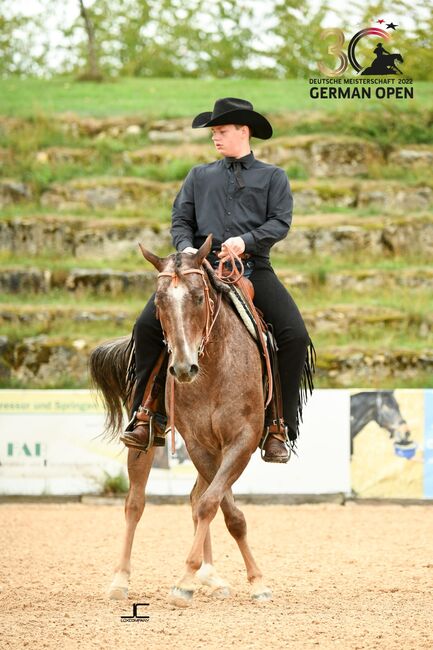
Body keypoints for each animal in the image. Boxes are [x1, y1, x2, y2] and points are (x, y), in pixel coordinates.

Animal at [90, 235, 274, 604]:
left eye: (199, 296)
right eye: (159, 301)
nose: (182, 367)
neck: (215, 367)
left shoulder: (241, 442)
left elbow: (212, 505)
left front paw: (249, 581)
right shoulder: (200, 444)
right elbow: (220, 508)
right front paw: (188, 580)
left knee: (193, 498)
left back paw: (212, 578)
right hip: (145, 442)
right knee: (134, 503)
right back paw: (120, 580)